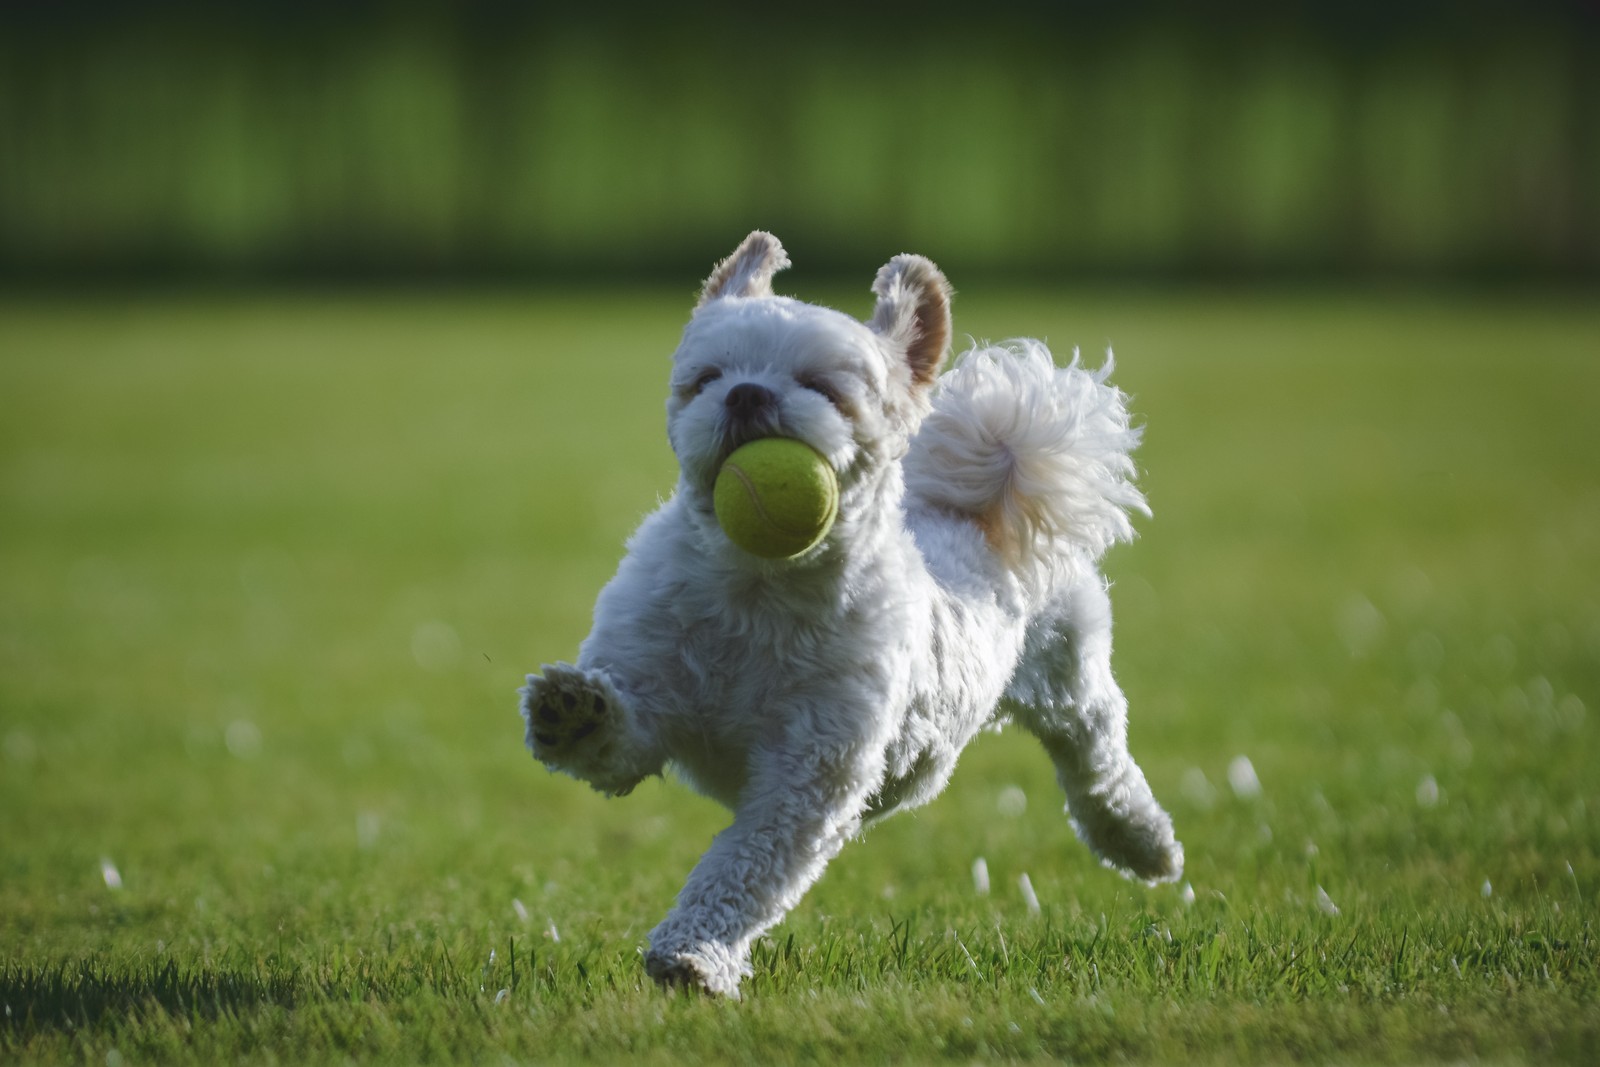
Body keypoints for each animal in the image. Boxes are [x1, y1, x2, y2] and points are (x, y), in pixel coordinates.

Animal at [518, 230, 1184, 998]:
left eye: (823, 388)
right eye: (707, 377)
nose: (746, 393)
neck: (758, 588)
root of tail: (972, 510)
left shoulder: (809, 774)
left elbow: (743, 867)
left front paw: (693, 953)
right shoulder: (653, 678)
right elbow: (619, 744)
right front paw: (574, 712)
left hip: (1070, 675)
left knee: (1097, 758)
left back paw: (1141, 841)